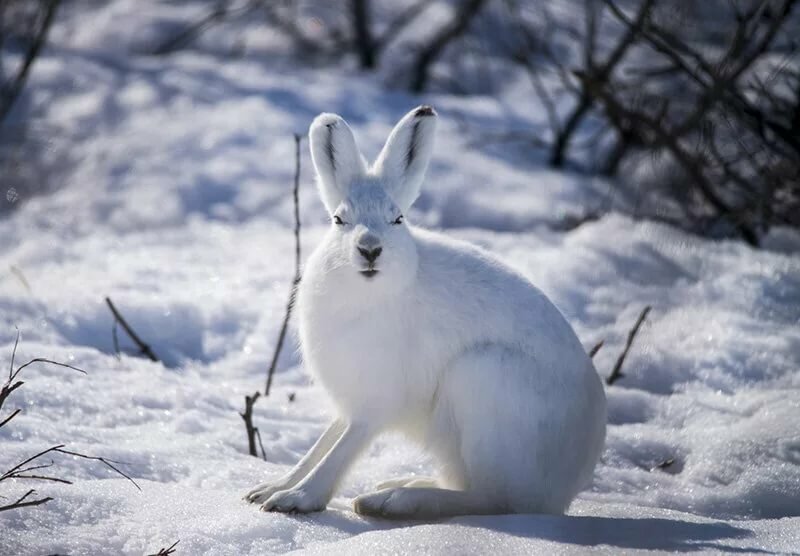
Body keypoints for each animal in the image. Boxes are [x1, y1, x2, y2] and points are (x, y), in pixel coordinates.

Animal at [244, 106, 606, 519]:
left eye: (397, 218)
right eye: (339, 219)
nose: (370, 249)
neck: (371, 294)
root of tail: (566, 488)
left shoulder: (378, 401)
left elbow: (341, 451)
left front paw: (297, 499)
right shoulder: (351, 398)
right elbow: (322, 444)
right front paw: (272, 487)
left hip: (485, 381)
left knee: (497, 499)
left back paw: (393, 500)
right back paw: (403, 485)